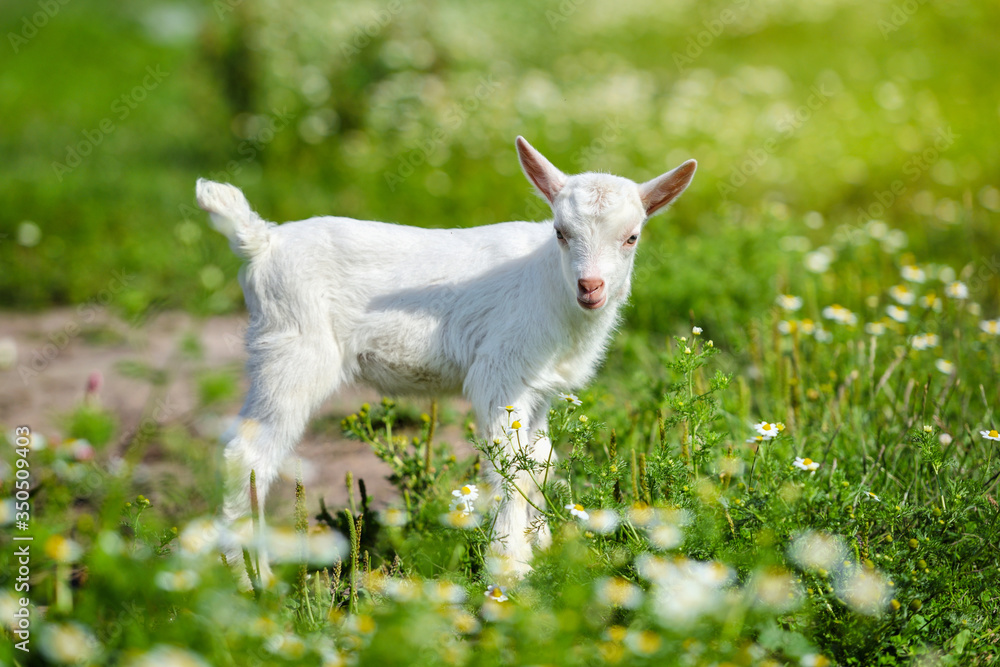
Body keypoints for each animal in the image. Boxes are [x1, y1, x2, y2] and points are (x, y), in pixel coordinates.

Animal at [196, 137, 696, 583]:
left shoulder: (540, 390)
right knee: (248, 453)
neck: (550, 288)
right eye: (560, 232)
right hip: (294, 350)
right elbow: (509, 469)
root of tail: (262, 241)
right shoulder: (500, 373)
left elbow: (539, 462)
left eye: (631, 238)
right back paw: (252, 578)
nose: (590, 287)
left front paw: (543, 548)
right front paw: (511, 570)